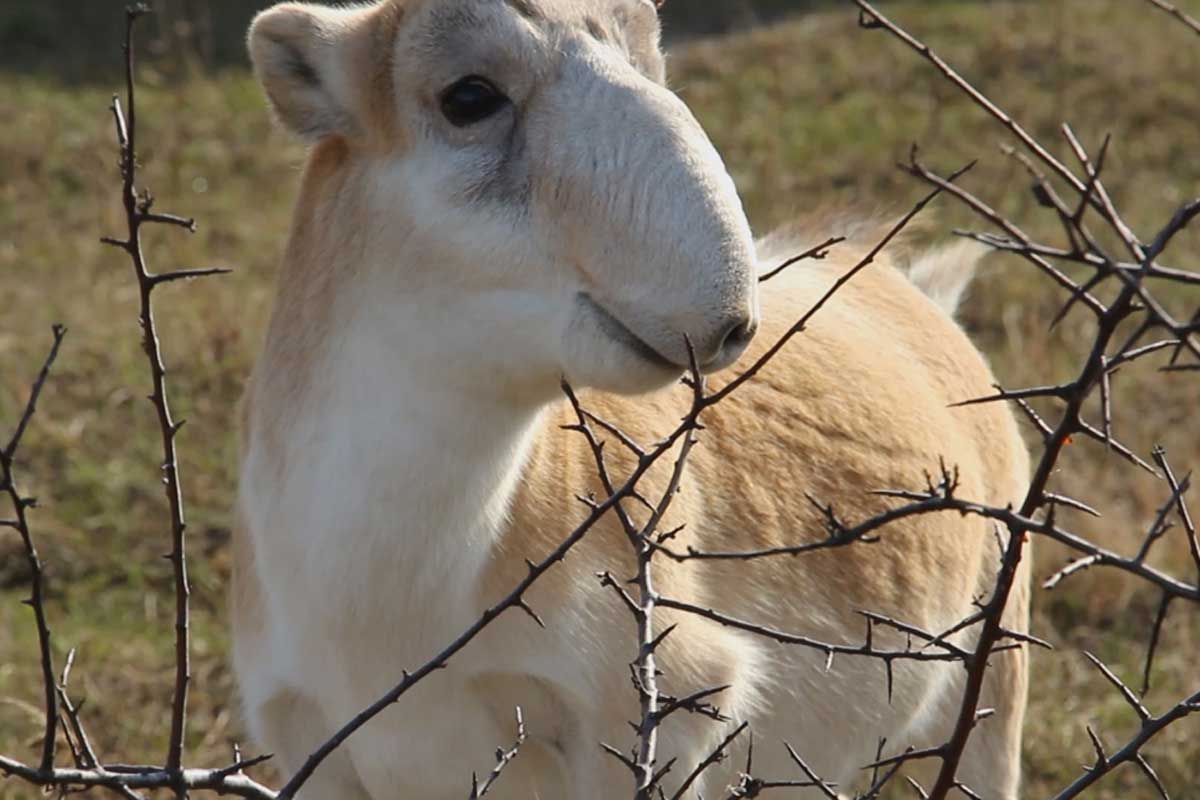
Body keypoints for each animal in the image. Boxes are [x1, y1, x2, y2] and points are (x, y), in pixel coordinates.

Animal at [234, 3, 1032, 796]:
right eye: (469, 96)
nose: (727, 320)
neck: (383, 612)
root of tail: (909, 287)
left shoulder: (661, 713)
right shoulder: (307, 743)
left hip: (992, 693)